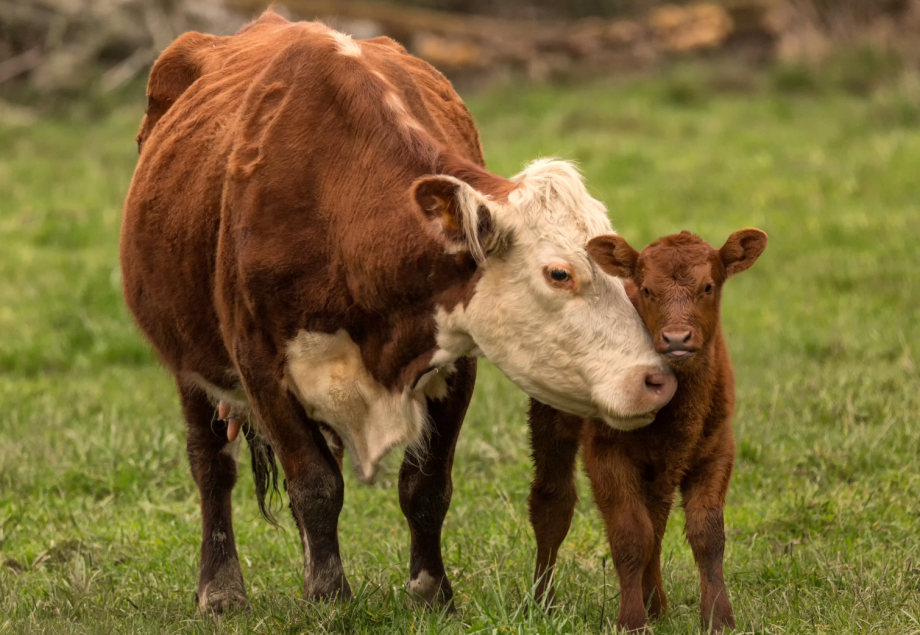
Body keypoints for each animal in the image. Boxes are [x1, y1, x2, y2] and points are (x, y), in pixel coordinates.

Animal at [120, 11, 677, 613]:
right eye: (560, 273)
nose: (656, 380)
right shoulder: (260, 366)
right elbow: (315, 484)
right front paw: (329, 597)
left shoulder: (456, 359)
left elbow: (424, 485)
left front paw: (431, 590)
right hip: (190, 363)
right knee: (212, 466)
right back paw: (221, 588)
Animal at [527, 229, 767, 632]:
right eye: (647, 290)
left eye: (708, 286)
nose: (676, 338)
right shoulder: (606, 452)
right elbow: (630, 535)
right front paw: (631, 619)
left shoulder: (717, 449)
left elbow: (706, 535)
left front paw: (718, 617)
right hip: (551, 416)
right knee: (552, 503)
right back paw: (543, 602)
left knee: (656, 519)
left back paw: (657, 604)